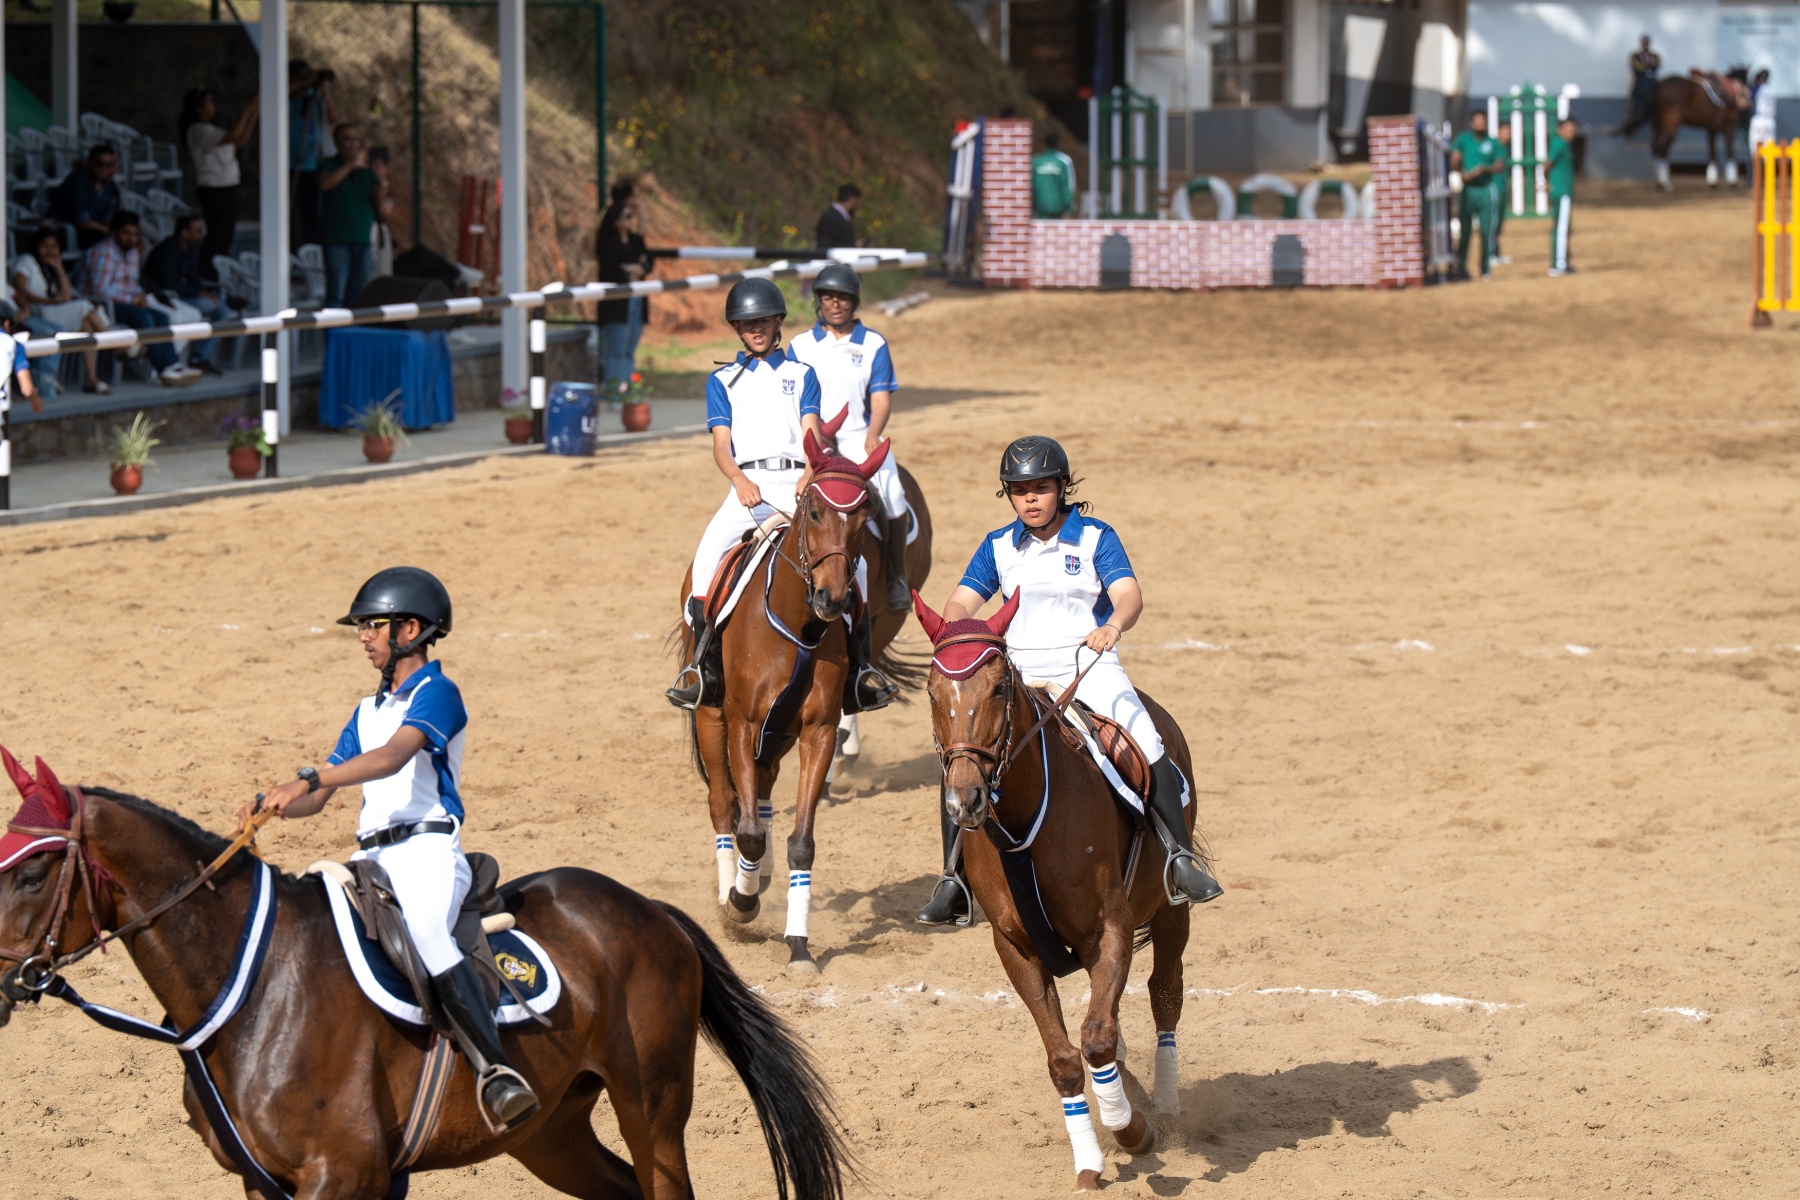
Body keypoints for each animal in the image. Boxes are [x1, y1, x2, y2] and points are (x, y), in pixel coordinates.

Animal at [0, 752, 849, 1200]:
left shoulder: (339, 1177)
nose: (2, 981)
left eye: (33, 874)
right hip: (551, 1132)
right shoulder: (269, 1182)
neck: (249, 990)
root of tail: (648, 909)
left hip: (654, 1111)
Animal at [677, 430, 892, 976]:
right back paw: (730, 888)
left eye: (864, 515)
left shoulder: (817, 732)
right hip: (712, 718)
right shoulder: (741, 723)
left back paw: (763, 874)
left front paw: (798, 945)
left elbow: (801, 842)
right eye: (814, 511)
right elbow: (746, 829)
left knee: (764, 794)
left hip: (777, 735)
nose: (834, 599)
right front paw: (740, 903)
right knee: (724, 803)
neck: (800, 624)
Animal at [912, 593, 1207, 1189]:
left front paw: (1131, 1128)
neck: (1026, 817)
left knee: (1165, 993)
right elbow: (1067, 1058)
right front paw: (1091, 1158)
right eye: (932, 691)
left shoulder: (1109, 929)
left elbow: (1096, 1038)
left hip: (1171, 911)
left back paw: (1164, 1103)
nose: (965, 801)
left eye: (999, 688)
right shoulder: (1017, 949)